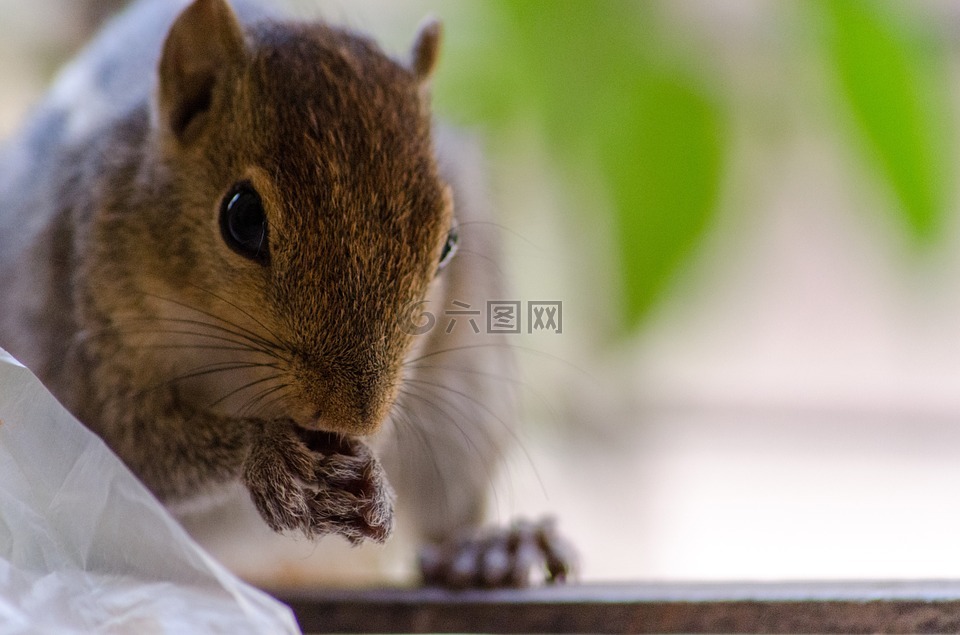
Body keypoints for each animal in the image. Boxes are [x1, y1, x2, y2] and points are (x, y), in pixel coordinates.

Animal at [0, 0, 572, 588]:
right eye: (243, 218)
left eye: (449, 244)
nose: (352, 419)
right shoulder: (82, 333)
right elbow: (134, 445)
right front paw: (269, 452)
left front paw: (371, 477)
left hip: (466, 400)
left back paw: (485, 550)